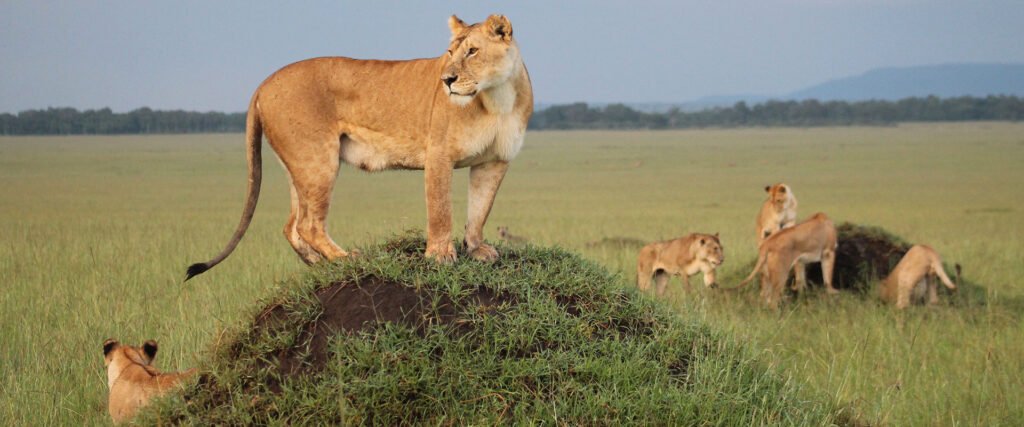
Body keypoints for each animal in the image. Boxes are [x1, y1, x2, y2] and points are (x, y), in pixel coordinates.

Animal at [185, 14, 533, 280]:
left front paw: (476, 248)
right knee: (308, 224)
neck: (497, 97)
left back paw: (319, 266)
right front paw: (439, 255)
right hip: (318, 159)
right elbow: (440, 210)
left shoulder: (494, 161)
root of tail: (263, 83)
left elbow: (480, 209)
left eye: (472, 51)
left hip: (297, 166)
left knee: (292, 226)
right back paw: (344, 259)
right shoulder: (439, 154)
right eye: (450, 52)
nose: (447, 80)